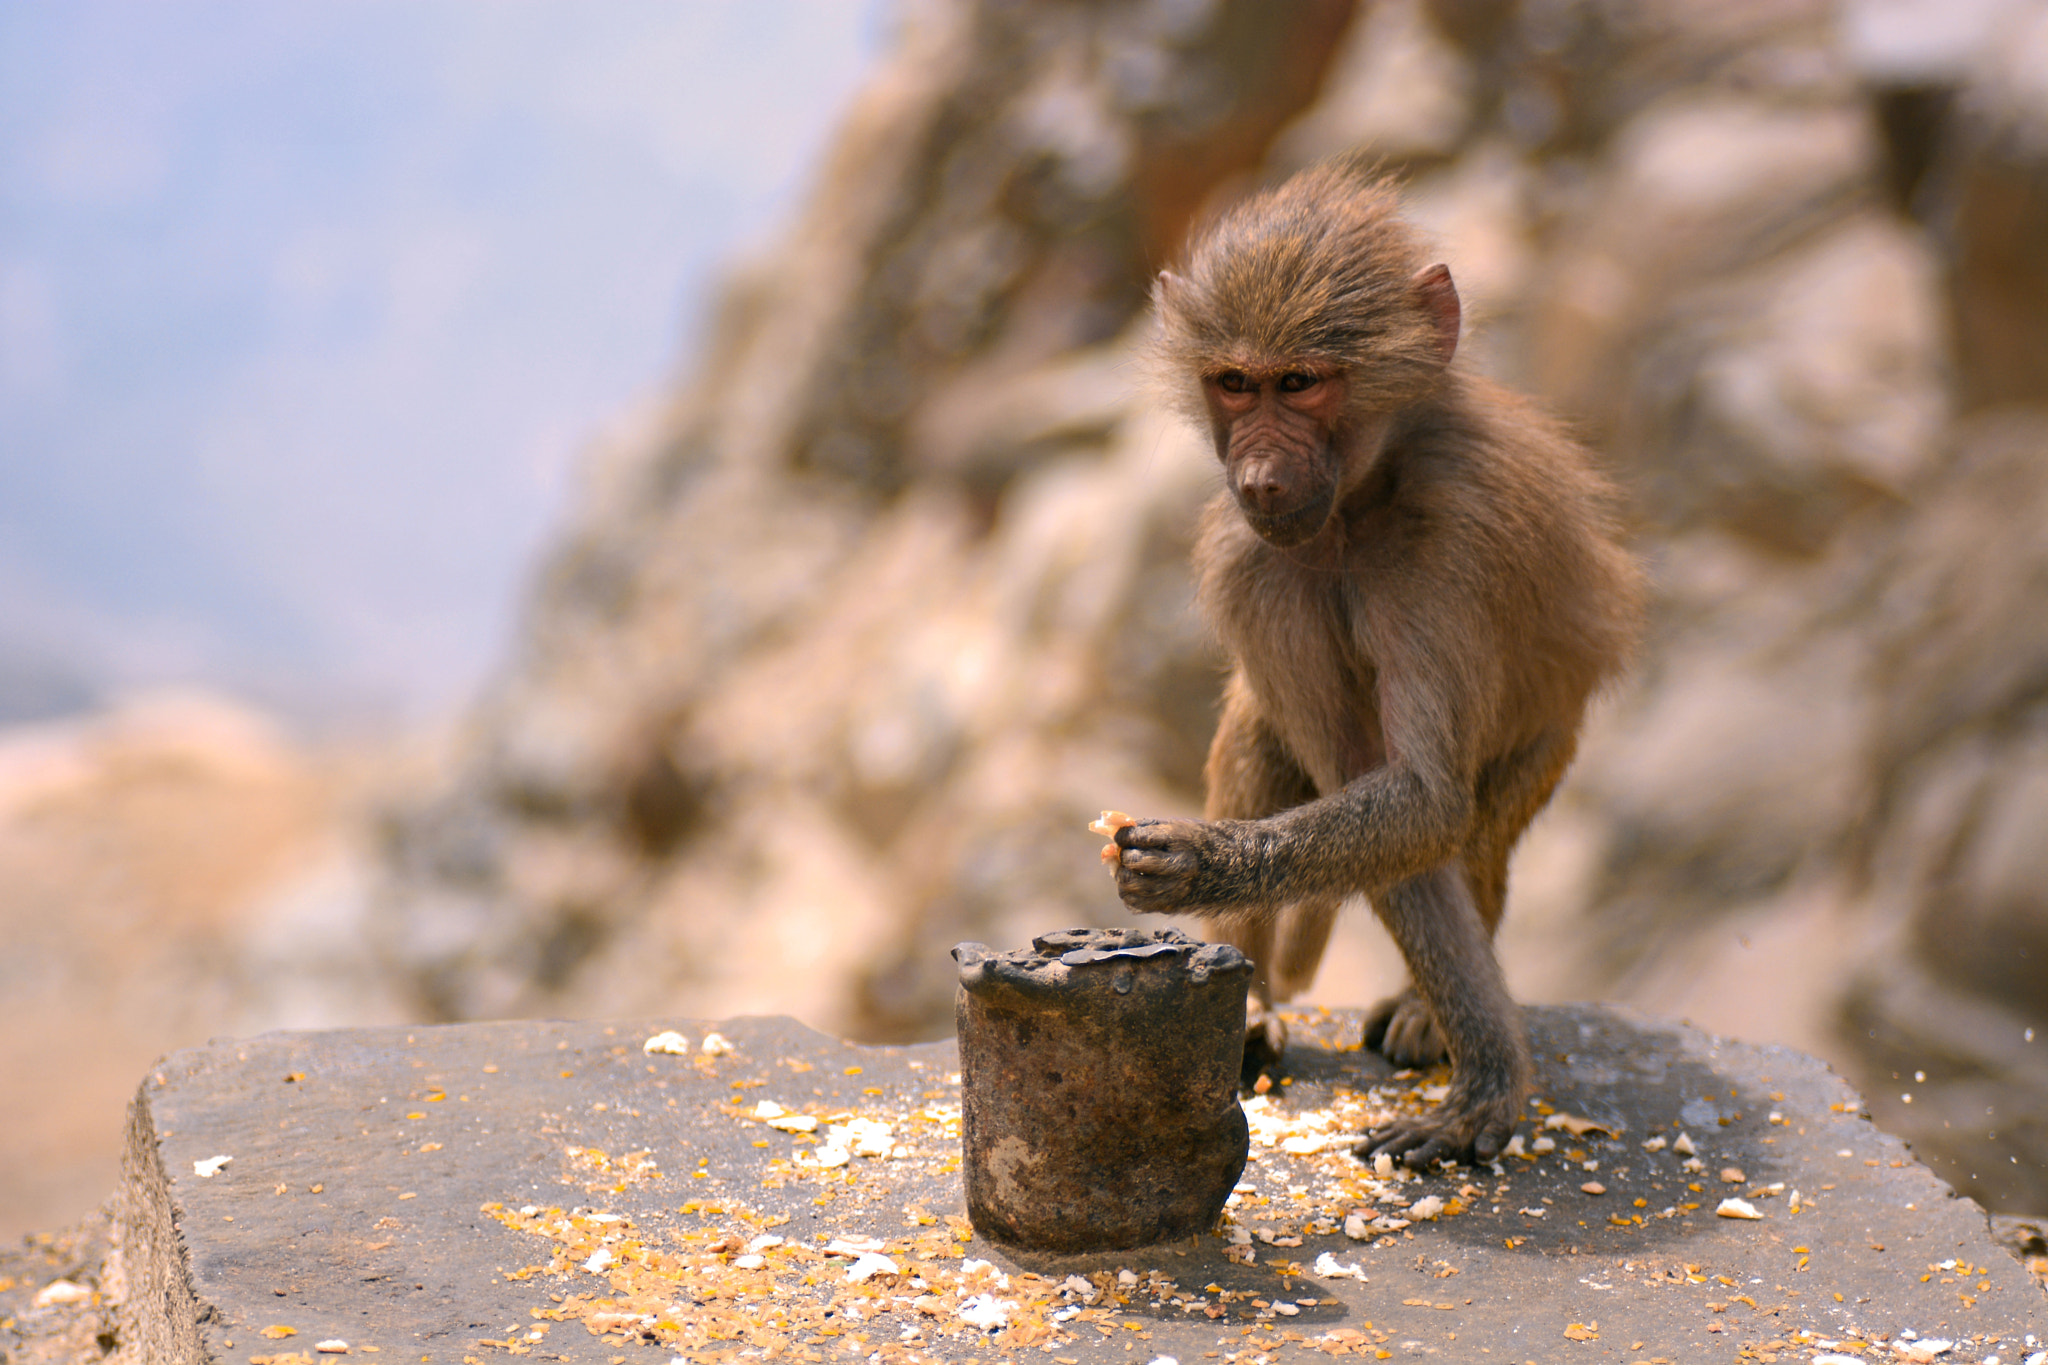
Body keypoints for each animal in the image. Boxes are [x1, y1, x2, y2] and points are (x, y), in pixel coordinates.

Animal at [1110, 160, 1644, 1168]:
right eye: (1234, 384)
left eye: (1300, 382)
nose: (1260, 478)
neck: (1356, 505)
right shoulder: (1252, 565)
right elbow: (1370, 782)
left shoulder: (1448, 547)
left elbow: (1423, 799)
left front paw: (1200, 861)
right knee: (1262, 738)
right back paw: (1253, 1009)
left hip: (1547, 745)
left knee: (1475, 826)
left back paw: (1427, 1016)